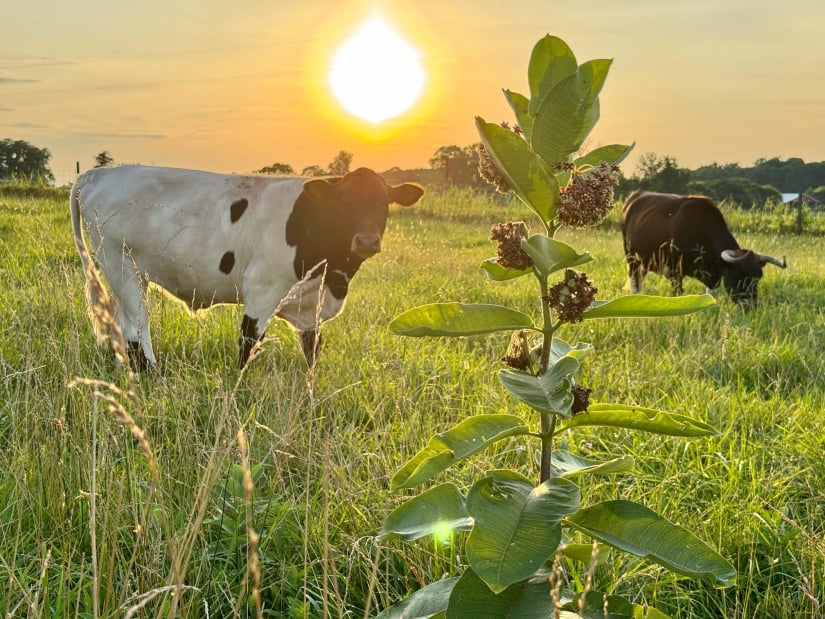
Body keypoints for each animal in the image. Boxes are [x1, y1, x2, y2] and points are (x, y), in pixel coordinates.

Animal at [70, 165, 424, 368]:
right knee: (137, 328)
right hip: (120, 263)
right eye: (343, 203)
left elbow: (312, 352)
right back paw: (151, 374)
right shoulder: (262, 289)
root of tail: (98, 173)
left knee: (121, 326)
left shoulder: (311, 307)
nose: (366, 241)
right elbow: (248, 344)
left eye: (383, 203)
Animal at [621, 190, 786, 307]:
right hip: (631, 259)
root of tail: (636, 194)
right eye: (740, 275)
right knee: (635, 281)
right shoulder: (675, 271)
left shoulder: (713, 276)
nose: (751, 306)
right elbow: (677, 294)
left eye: (758, 278)